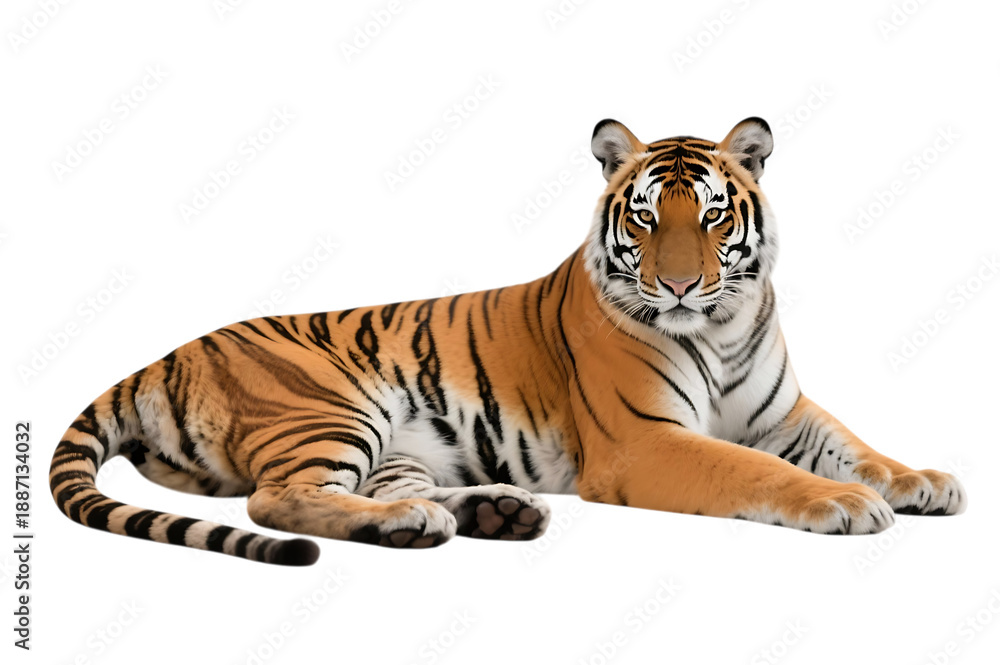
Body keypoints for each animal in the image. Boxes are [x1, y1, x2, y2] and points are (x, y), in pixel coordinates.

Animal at [49, 117, 967, 566]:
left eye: (710, 216)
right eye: (646, 218)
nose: (677, 286)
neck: (722, 326)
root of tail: (166, 354)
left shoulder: (785, 413)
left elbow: (856, 445)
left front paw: (923, 481)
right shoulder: (644, 441)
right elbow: (755, 471)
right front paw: (845, 503)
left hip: (392, 441)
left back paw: (483, 511)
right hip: (331, 406)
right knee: (275, 498)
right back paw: (426, 522)